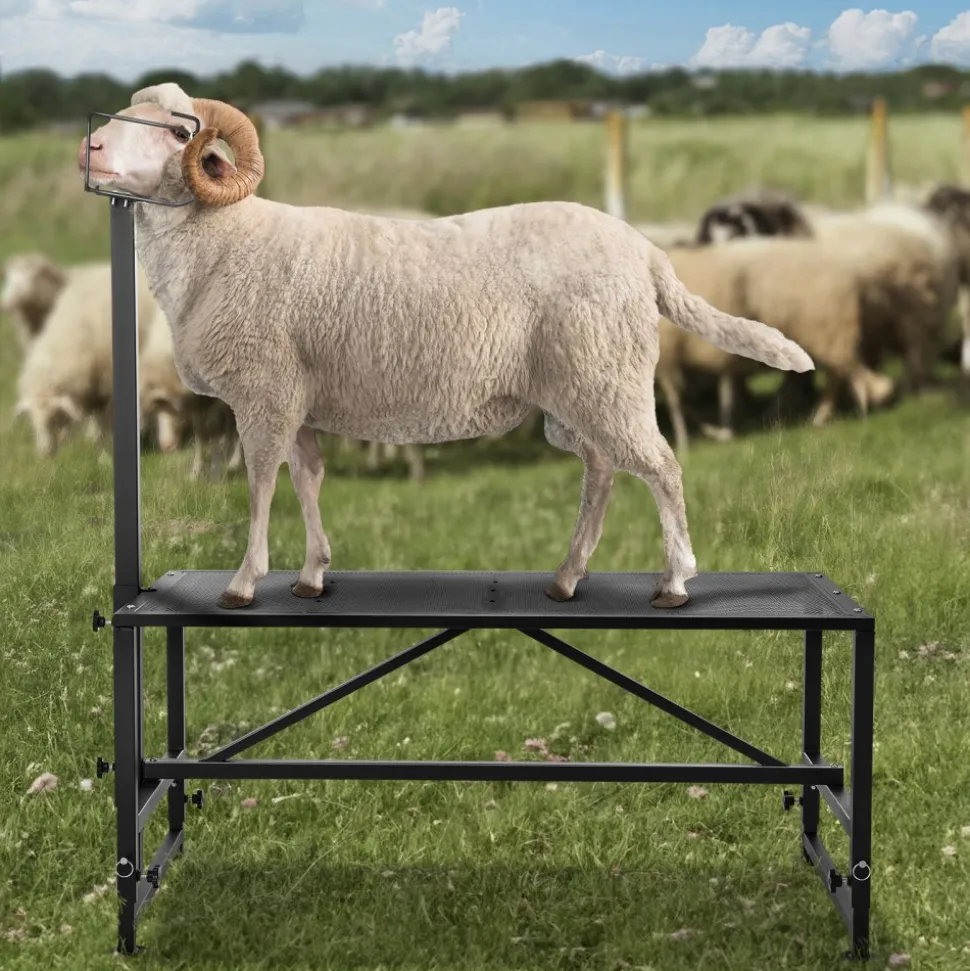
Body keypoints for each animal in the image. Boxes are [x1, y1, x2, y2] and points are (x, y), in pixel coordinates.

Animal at [78, 82, 813, 611]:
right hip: (579, 392)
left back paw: (675, 582)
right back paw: (567, 577)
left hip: (608, 378)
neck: (223, 241)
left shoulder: (265, 392)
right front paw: (312, 574)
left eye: (180, 131)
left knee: (660, 468)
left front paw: (243, 581)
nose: (91, 147)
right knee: (603, 470)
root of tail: (644, 252)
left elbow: (261, 485)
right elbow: (307, 478)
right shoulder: (298, 397)